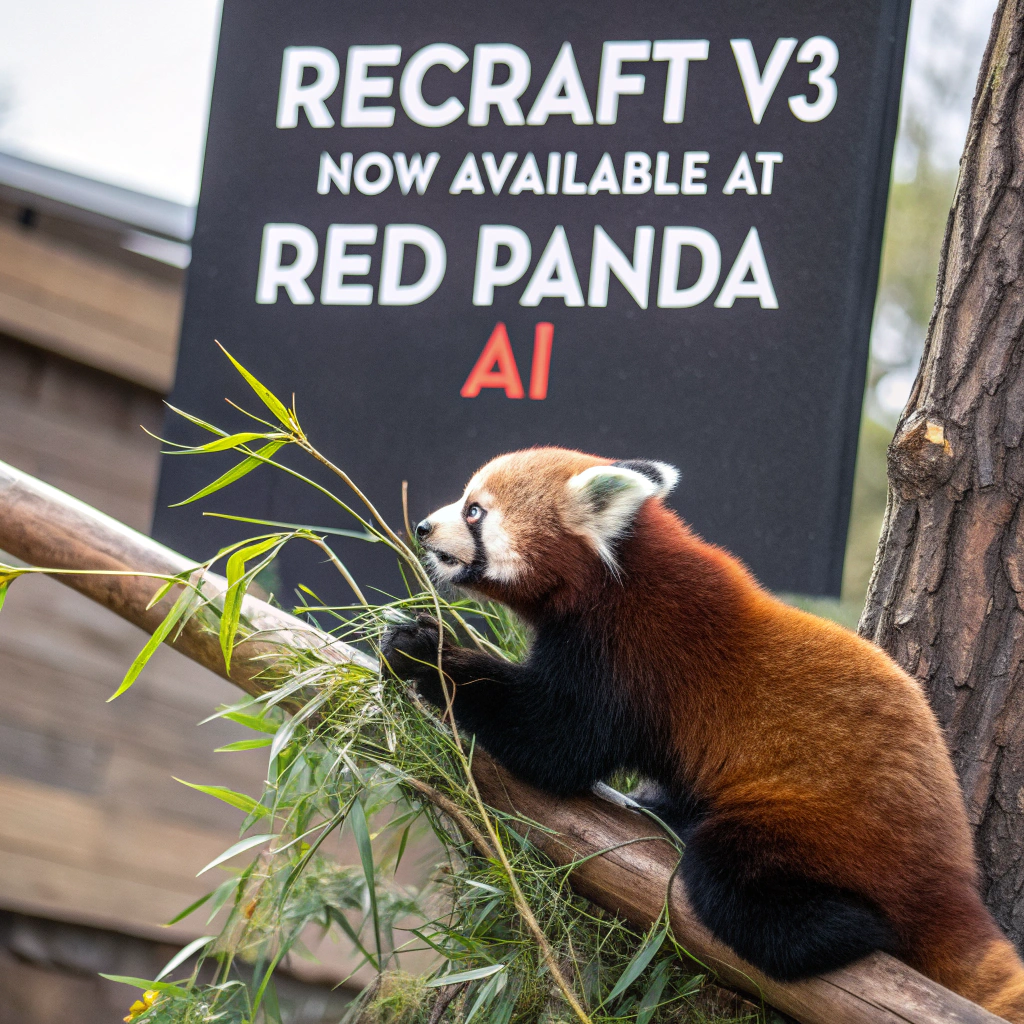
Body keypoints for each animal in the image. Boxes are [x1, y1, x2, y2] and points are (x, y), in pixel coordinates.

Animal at [380, 448, 1024, 1015]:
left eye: (474, 511)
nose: (422, 526)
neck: (617, 574)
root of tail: (953, 872)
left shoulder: (632, 653)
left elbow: (557, 743)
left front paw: (426, 653)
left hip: (817, 824)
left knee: (729, 883)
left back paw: (850, 929)